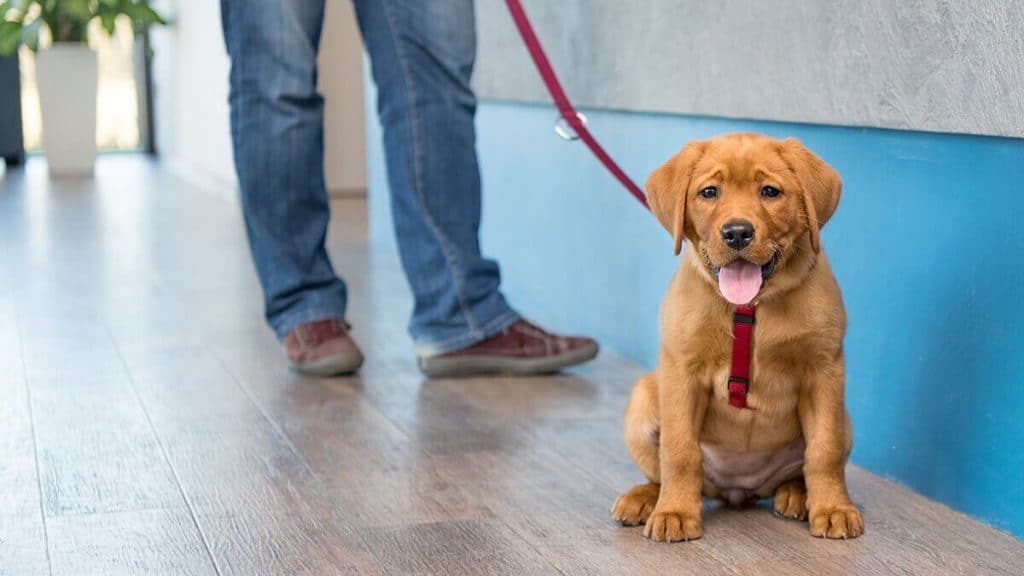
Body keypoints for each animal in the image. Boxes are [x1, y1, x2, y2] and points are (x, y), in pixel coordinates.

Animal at [610, 132, 860, 541]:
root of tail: (739, 489)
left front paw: (833, 508)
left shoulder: (824, 371)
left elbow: (824, 450)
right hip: (643, 399)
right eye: (709, 192)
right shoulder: (682, 372)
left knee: (803, 465)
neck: (750, 307)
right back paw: (648, 498)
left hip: (845, 419)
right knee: (664, 470)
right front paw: (675, 512)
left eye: (770, 191)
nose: (737, 232)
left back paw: (796, 494)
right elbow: (679, 451)